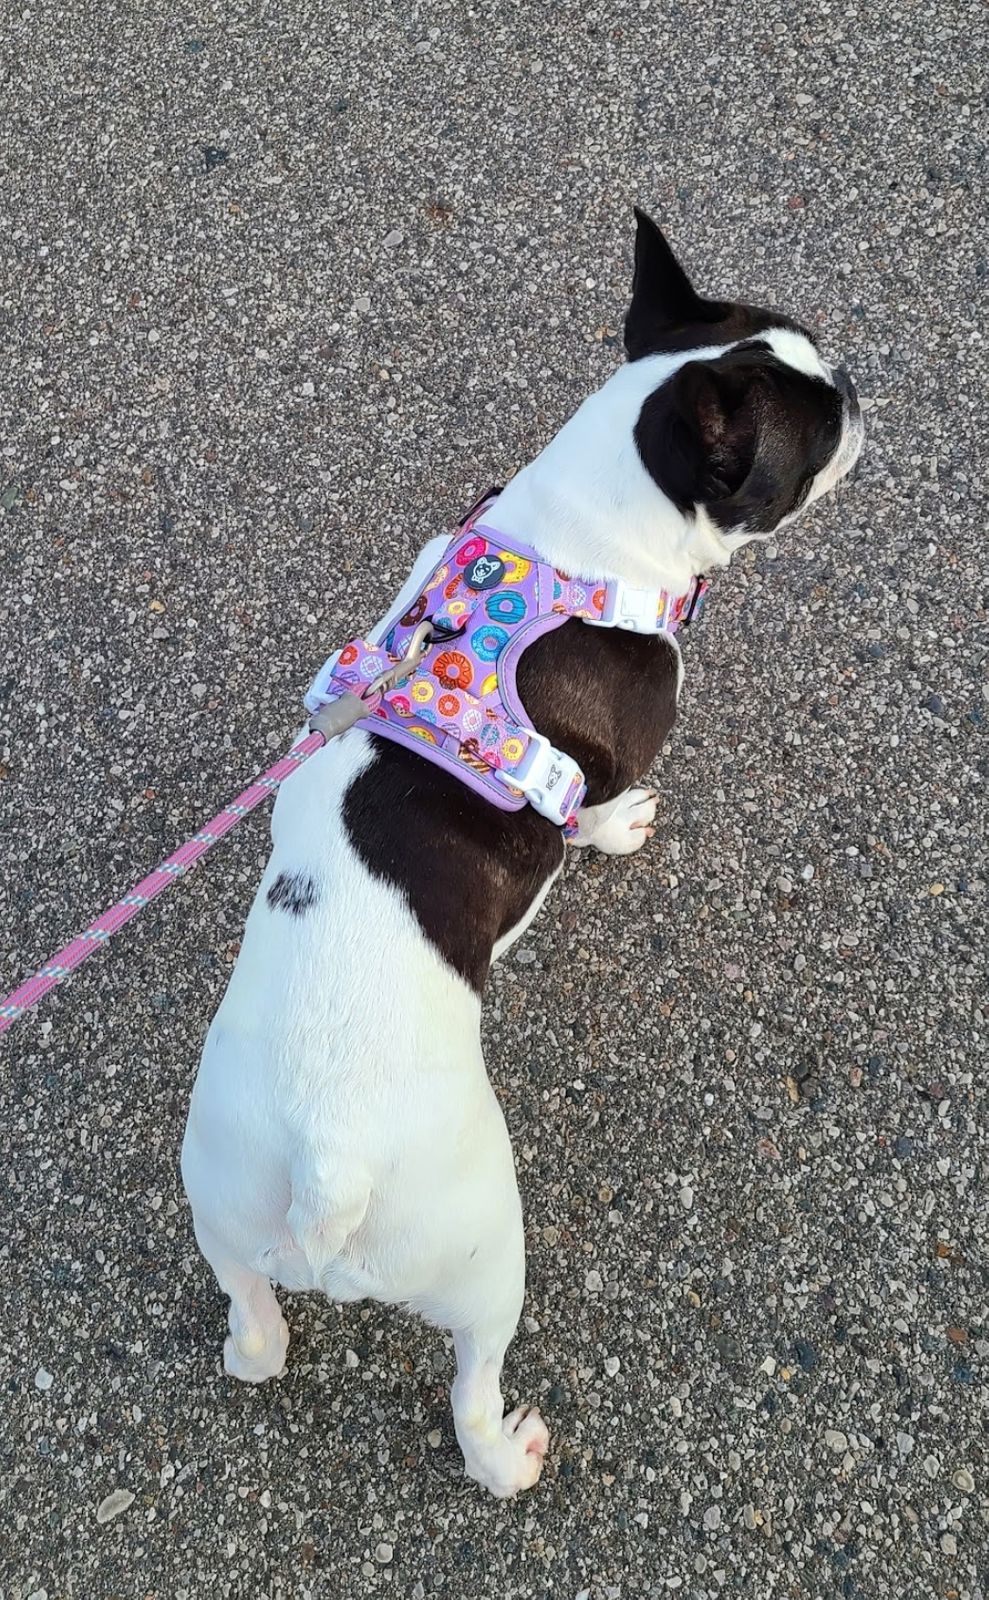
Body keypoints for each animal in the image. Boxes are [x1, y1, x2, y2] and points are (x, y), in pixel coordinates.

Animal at [180, 210, 863, 1498]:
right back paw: (504, 1453)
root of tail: (327, 1172)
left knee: (253, 1331)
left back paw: (259, 1341)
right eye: (810, 435)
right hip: (483, 1255)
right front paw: (612, 829)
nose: (856, 384)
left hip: (222, 1214)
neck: (578, 535)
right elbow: (588, 809)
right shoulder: (612, 748)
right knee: (471, 1383)